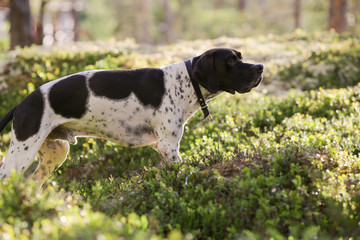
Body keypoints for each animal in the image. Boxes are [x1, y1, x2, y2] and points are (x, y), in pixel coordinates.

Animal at [0, 47, 264, 185]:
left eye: (241, 57)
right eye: (231, 60)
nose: (260, 67)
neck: (187, 81)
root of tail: (21, 103)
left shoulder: (160, 145)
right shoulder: (169, 146)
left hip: (55, 154)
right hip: (21, 155)